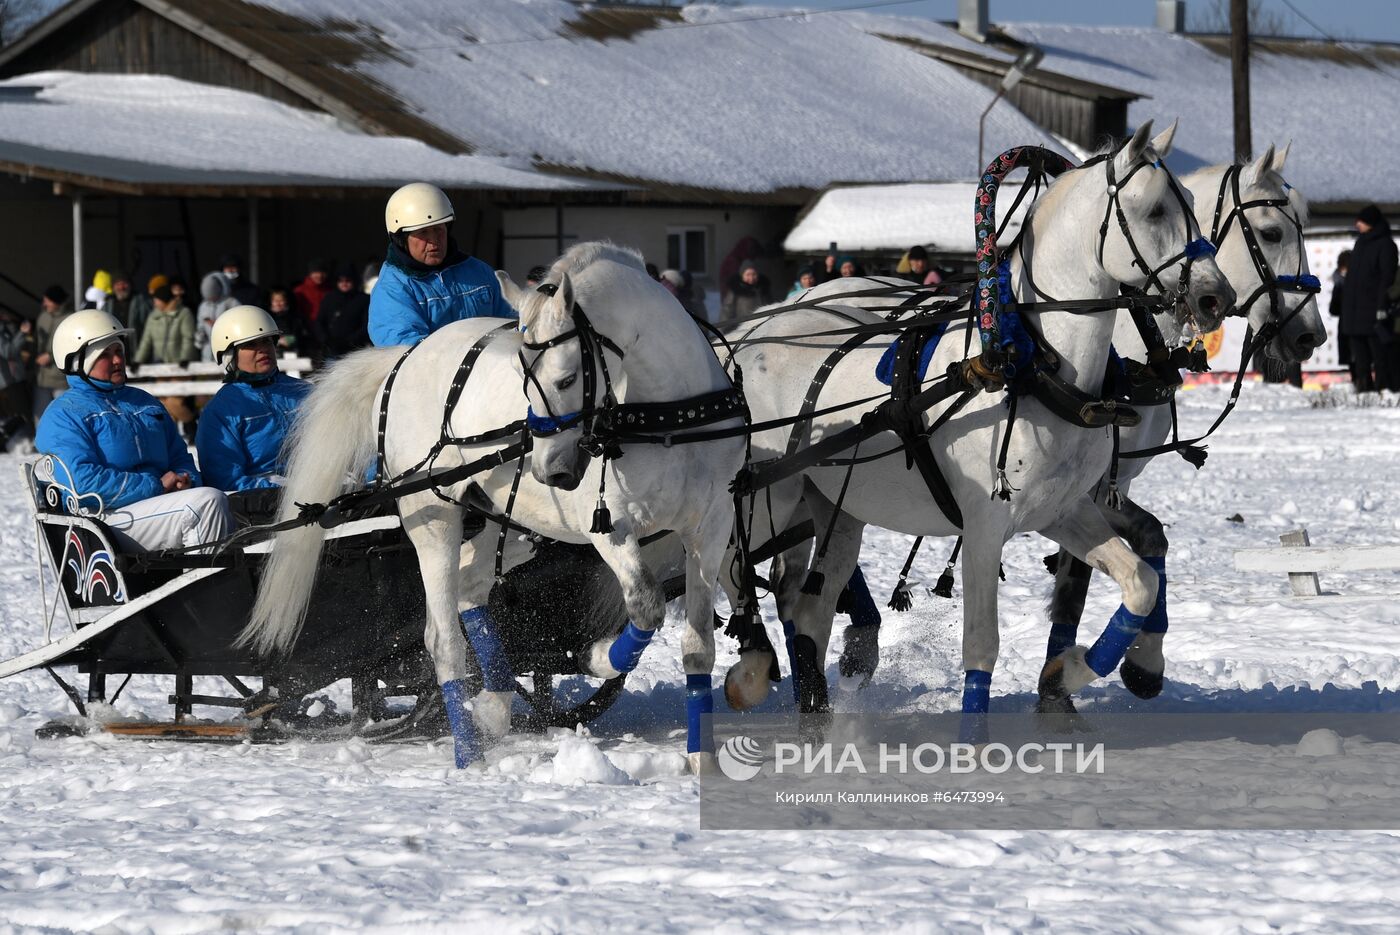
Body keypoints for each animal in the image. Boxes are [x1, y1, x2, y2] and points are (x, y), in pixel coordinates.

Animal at [243, 243, 744, 772]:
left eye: (567, 377)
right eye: (524, 378)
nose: (550, 471)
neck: (668, 416)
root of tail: (407, 358)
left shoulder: (711, 527)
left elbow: (697, 648)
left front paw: (702, 759)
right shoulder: (611, 527)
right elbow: (646, 608)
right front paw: (600, 656)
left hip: (505, 522)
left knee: (470, 584)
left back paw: (494, 704)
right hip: (432, 516)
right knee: (442, 638)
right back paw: (468, 752)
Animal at [716, 120, 1232, 727]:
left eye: (1194, 202)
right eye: (1153, 211)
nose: (1216, 296)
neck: (1031, 363)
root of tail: (750, 338)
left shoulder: (1065, 511)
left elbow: (1141, 583)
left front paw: (1068, 673)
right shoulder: (985, 528)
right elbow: (982, 645)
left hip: (838, 509)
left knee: (810, 612)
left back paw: (813, 715)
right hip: (766, 498)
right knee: (732, 569)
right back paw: (750, 671)